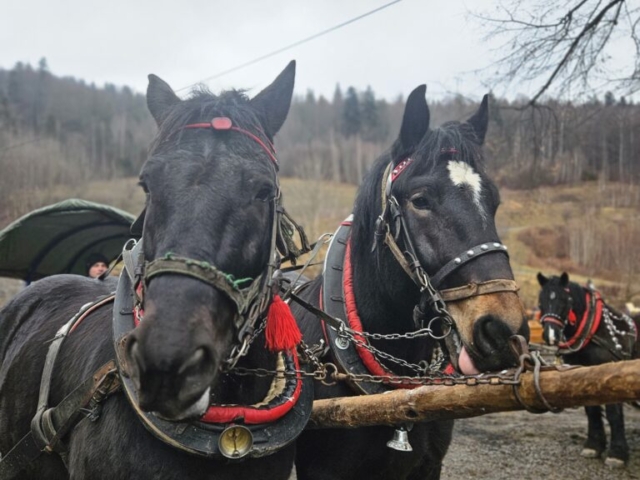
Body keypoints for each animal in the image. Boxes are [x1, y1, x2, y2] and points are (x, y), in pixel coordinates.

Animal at [536, 272, 636, 466]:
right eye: (540, 301)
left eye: (565, 300)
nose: (550, 335)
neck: (594, 330)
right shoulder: (583, 375)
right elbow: (592, 410)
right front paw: (594, 445)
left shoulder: (611, 375)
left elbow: (613, 413)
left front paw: (617, 454)